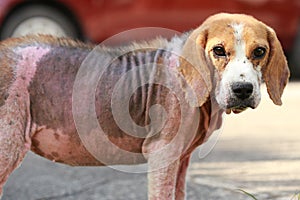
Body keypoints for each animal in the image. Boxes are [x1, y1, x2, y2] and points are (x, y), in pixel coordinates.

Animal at [0, 13, 290, 199]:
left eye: (260, 52)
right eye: (218, 50)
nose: (243, 90)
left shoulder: (181, 159)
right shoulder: (162, 153)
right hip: (8, 144)